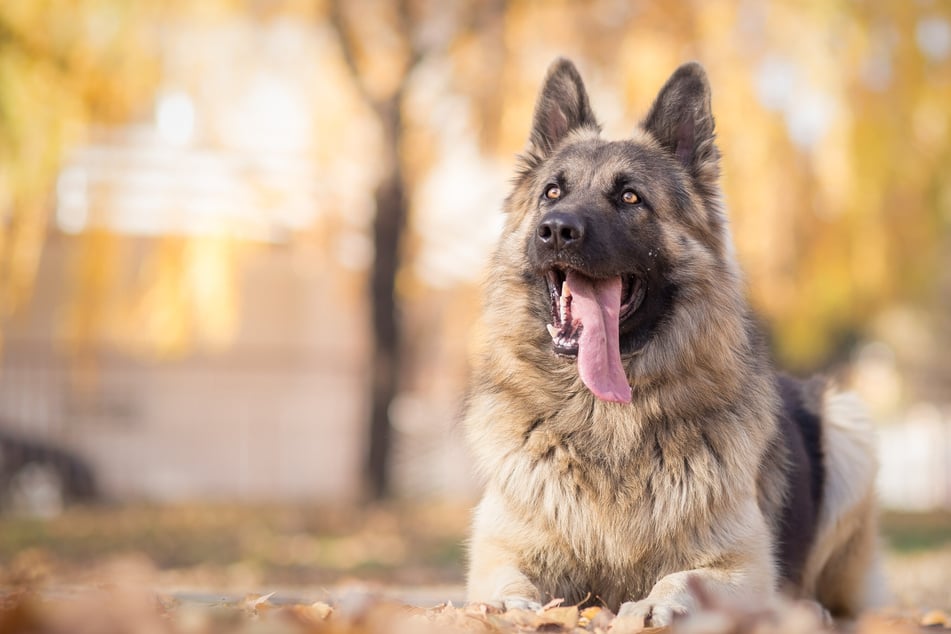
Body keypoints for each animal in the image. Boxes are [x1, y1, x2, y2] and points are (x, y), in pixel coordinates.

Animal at [464, 60, 888, 628]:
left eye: (630, 197)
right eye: (552, 192)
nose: (556, 230)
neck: (605, 417)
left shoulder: (741, 569)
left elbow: (683, 579)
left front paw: (654, 605)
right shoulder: (501, 552)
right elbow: (505, 582)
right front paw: (513, 607)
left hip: (849, 427)